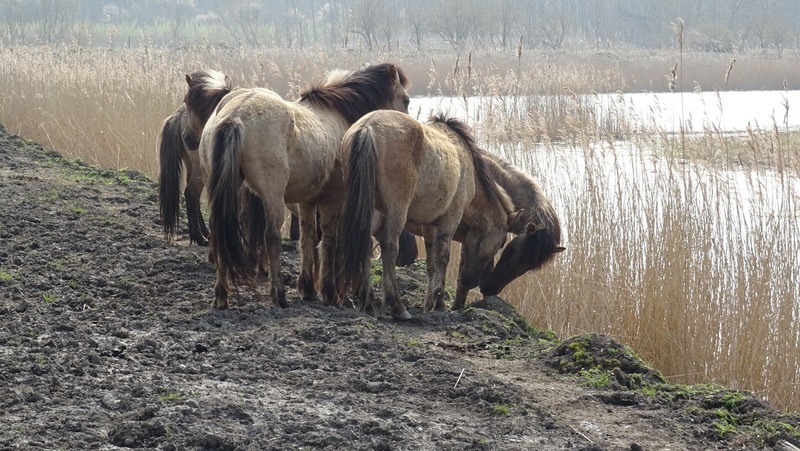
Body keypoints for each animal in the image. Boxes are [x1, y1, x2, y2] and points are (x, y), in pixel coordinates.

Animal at [186, 64, 411, 310]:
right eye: (407, 100)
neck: (339, 116)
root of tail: (234, 117)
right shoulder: (333, 201)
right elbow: (329, 242)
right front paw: (330, 293)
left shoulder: (307, 202)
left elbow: (308, 239)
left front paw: (309, 288)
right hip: (272, 195)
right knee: (272, 236)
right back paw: (279, 295)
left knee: (219, 232)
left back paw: (221, 295)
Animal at [339, 110, 515, 320]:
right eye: (502, 243)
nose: (472, 281)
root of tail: (367, 127)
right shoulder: (450, 220)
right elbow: (442, 258)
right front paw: (438, 303)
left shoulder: (429, 225)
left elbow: (431, 263)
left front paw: (430, 302)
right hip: (396, 210)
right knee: (389, 247)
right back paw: (397, 306)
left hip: (371, 210)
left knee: (365, 246)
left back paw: (367, 303)